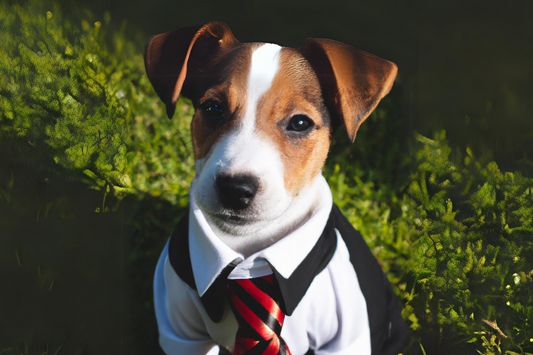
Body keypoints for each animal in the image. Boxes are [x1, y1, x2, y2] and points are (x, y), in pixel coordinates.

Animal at [143, 21, 406, 355]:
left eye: (300, 123)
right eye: (213, 108)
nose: (235, 188)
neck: (250, 256)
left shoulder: (347, 338)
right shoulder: (181, 334)